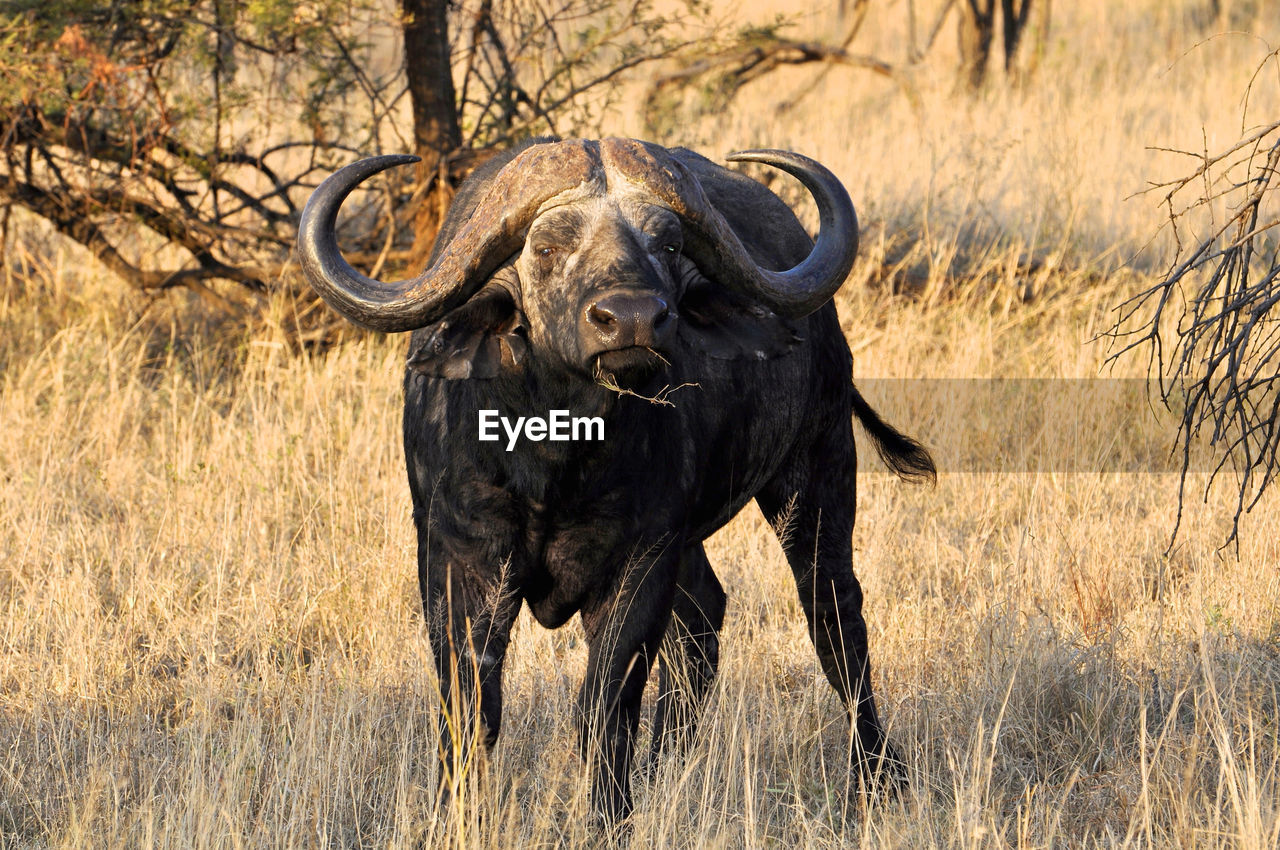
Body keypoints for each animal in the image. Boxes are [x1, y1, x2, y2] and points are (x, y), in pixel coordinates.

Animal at [300, 137, 942, 824]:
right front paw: (456, 814)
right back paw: (665, 767)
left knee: (833, 616)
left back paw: (879, 777)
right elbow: (472, 705)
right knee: (704, 616)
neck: (558, 455)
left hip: (816, 468)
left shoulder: (641, 558)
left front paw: (610, 815)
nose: (631, 319)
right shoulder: (457, 557)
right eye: (547, 247)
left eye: (668, 245)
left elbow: (605, 706)